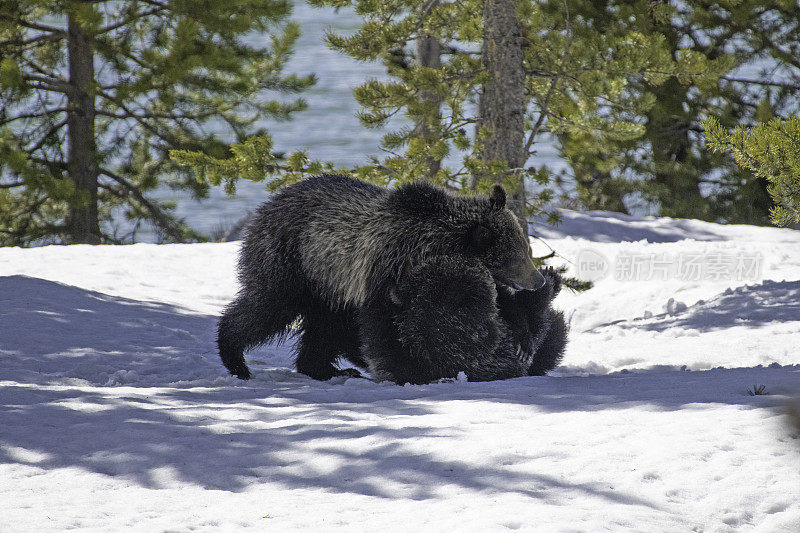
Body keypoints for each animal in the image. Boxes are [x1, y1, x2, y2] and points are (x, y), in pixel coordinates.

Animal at [219, 174, 564, 382]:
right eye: (517, 255)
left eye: (526, 248)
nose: (537, 280)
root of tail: (268, 204)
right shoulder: (387, 272)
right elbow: (385, 328)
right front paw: (401, 371)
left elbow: (502, 309)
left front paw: (522, 340)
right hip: (294, 264)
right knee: (266, 307)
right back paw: (234, 358)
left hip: (328, 287)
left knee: (322, 327)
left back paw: (325, 368)